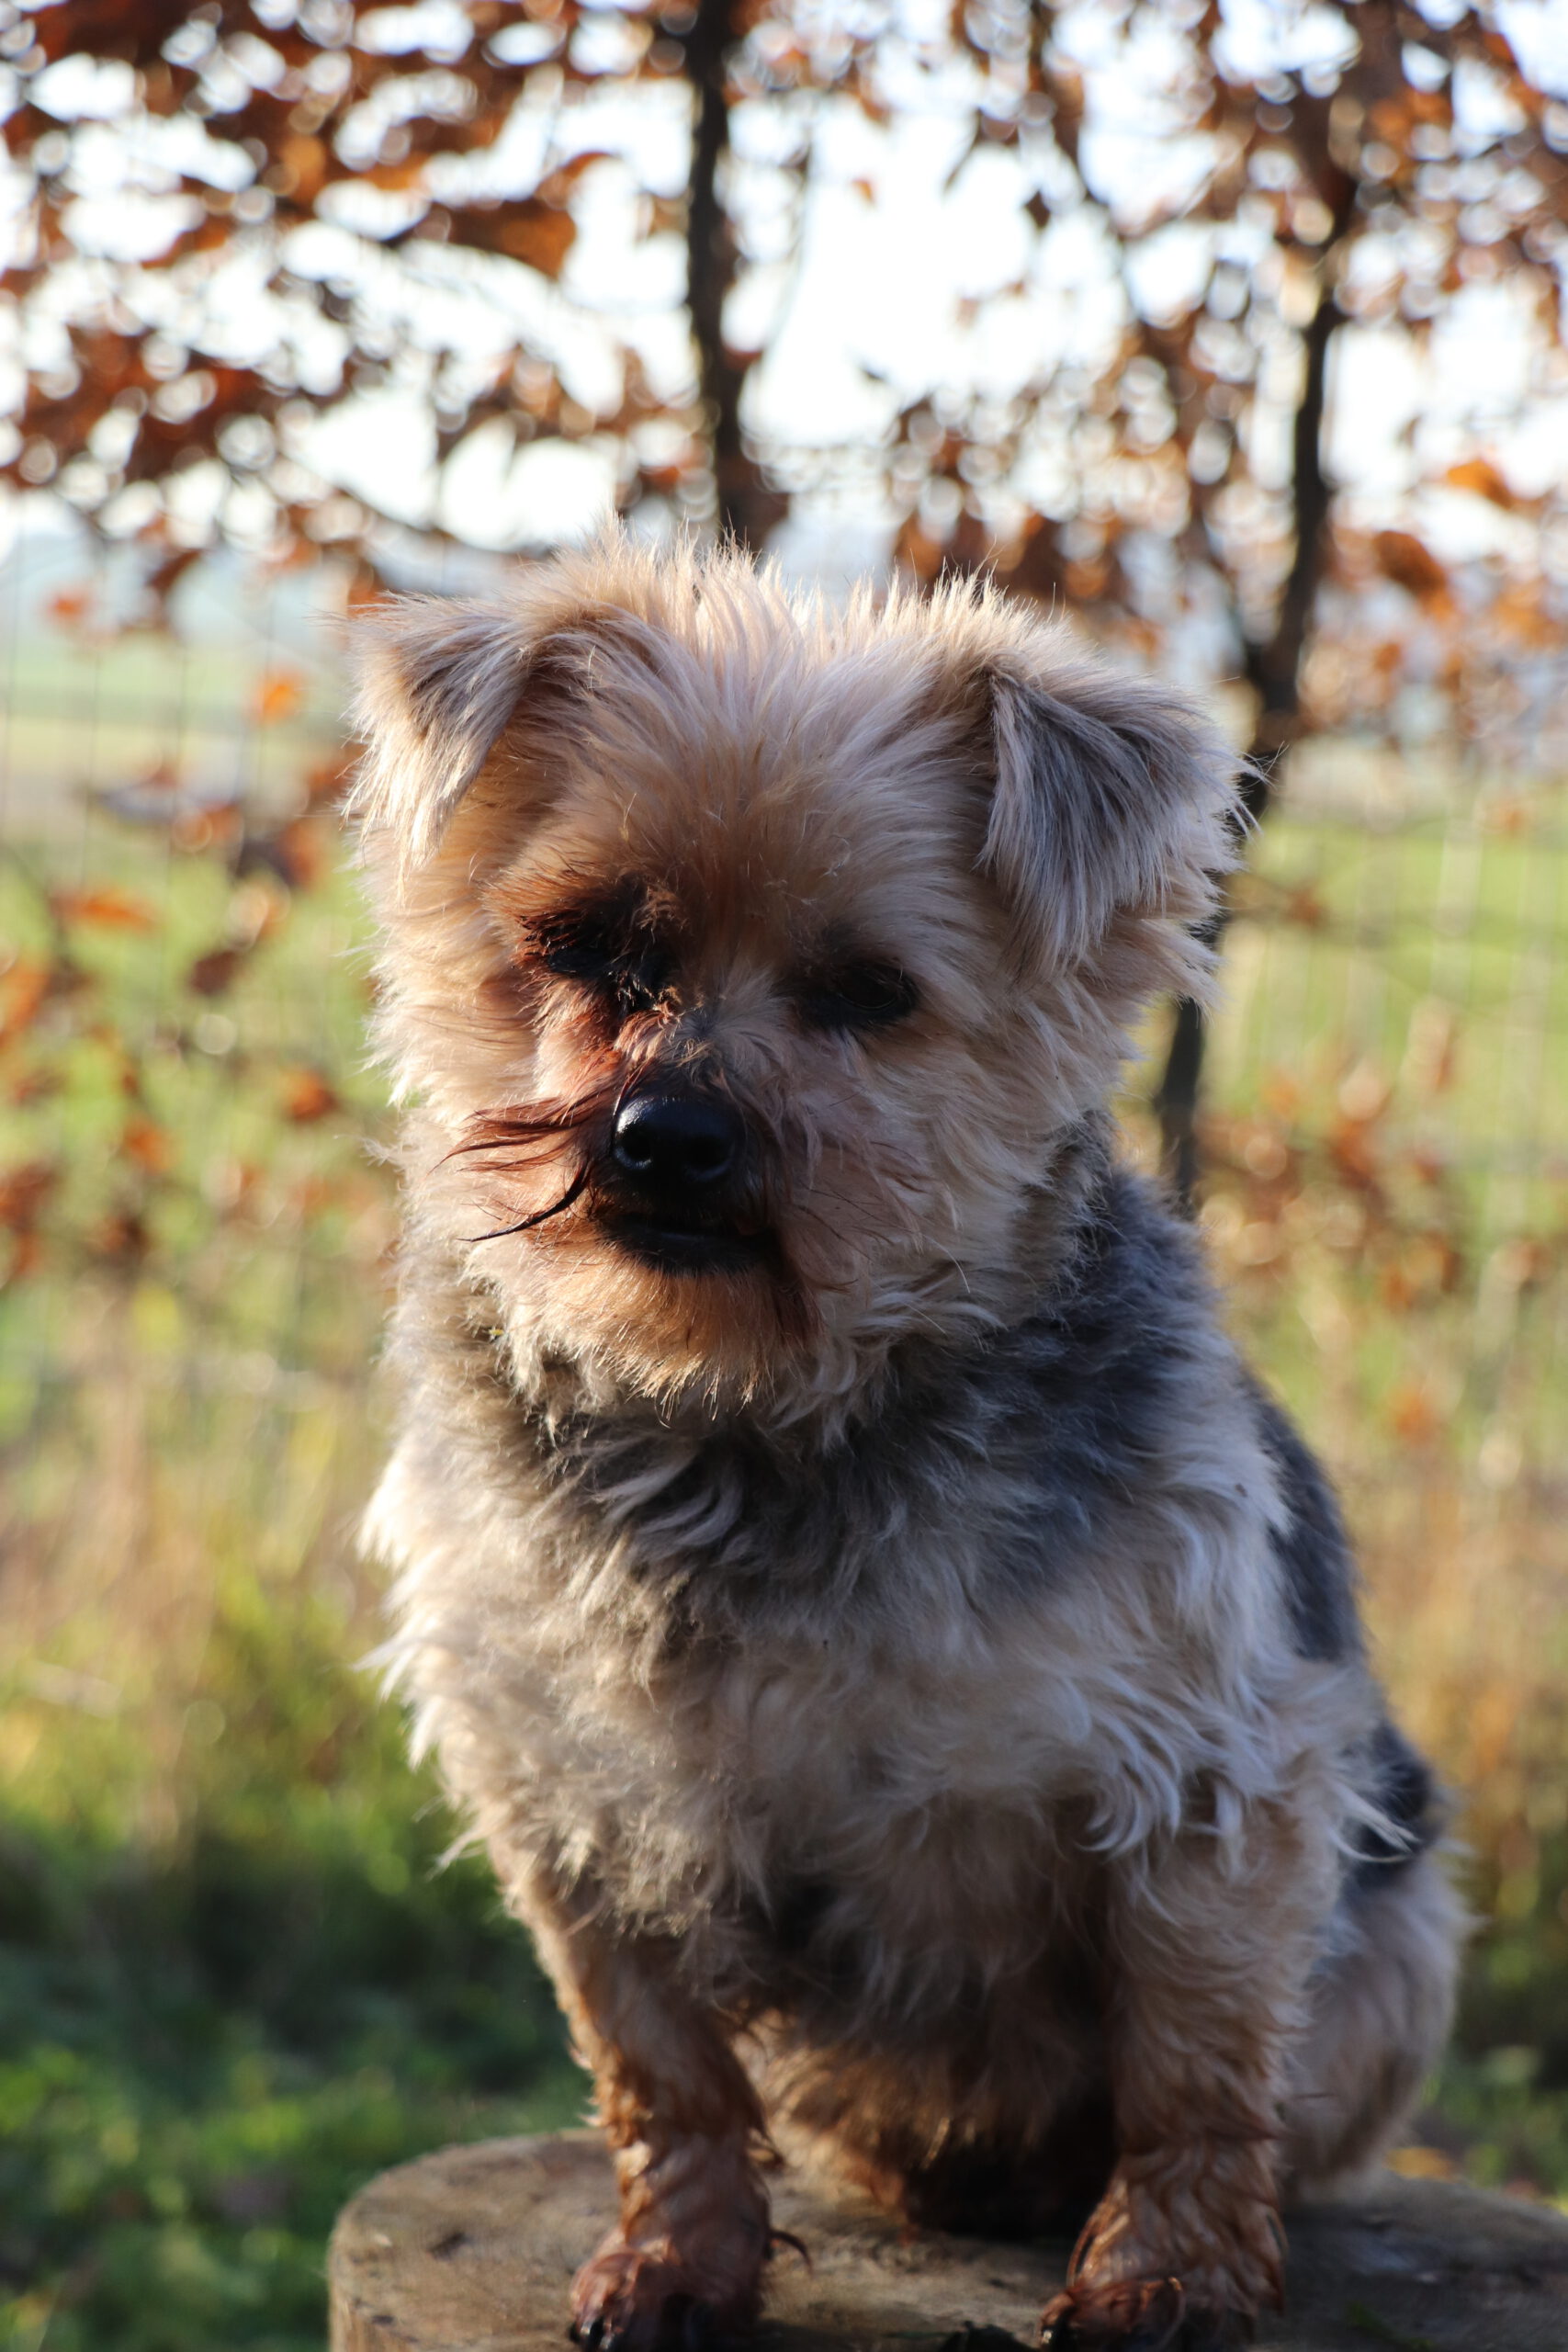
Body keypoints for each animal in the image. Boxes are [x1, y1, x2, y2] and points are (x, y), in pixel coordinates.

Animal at [350, 538, 1461, 2352]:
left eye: (868, 993)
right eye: (587, 947)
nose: (665, 1134)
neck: (751, 1411)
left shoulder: (1210, 1776)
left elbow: (1193, 2060)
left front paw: (1163, 2274)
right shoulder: (560, 1793)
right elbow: (658, 2067)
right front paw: (676, 2258)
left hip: (1399, 1929)